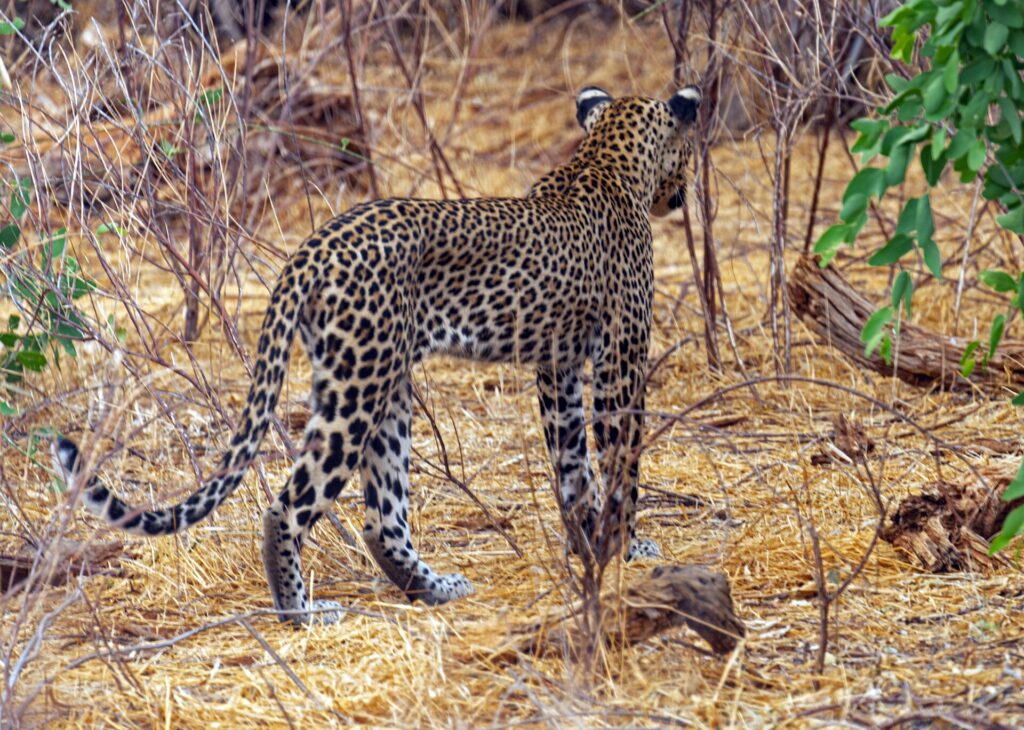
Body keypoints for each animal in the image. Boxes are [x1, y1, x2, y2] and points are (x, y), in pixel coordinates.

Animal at [52, 83, 703, 625]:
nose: (684, 194)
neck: (607, 159)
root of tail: (308, 250)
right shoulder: (622, 355)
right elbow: (622, 459)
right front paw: (627, 547)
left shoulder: (558, 366)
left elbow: (573, 464)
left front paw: (588, 543)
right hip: (358, 386)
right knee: (288, 507)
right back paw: (303, 614)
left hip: (384, 383)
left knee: (380, 518)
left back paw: (434, 588)